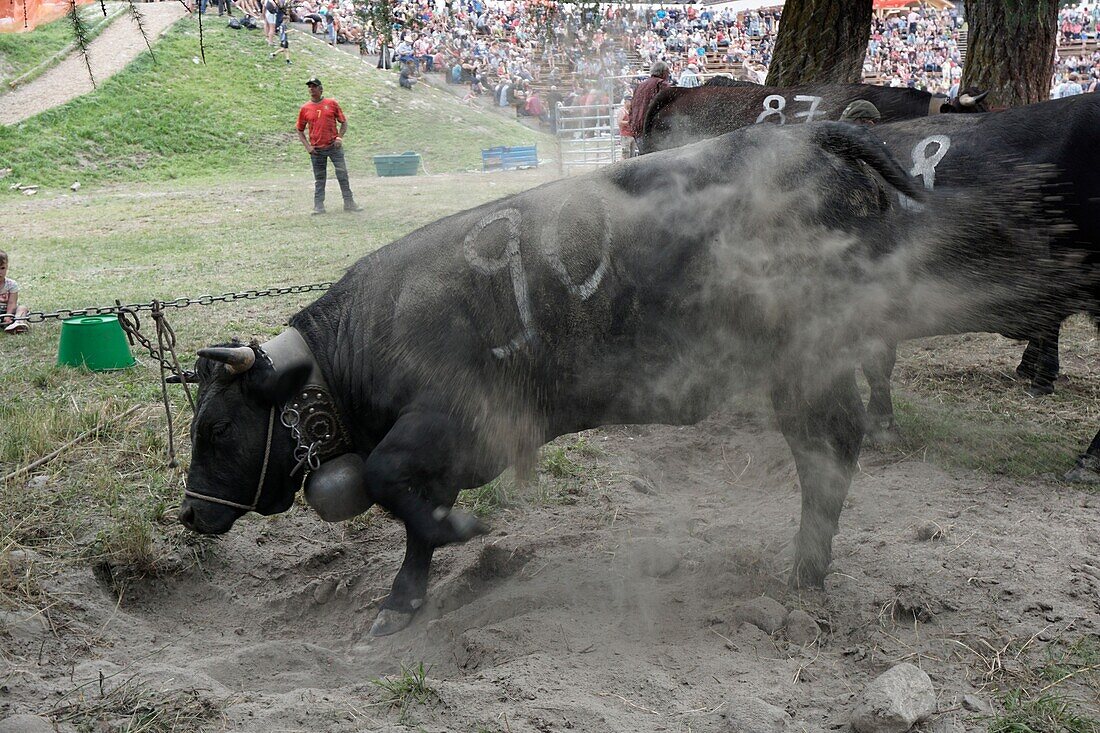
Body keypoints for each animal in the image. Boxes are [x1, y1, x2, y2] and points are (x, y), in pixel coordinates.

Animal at [178, 121, 1056, 633]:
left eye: (215, 426)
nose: (189, 511)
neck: (364, 334)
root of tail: (814, 134)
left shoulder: (455, 421)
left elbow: (398, 485)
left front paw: (462, 537)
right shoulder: (449, 453)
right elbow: (413, 520)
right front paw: (403, 599)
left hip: (811, 364)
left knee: (828, 459)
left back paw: (803, 577)